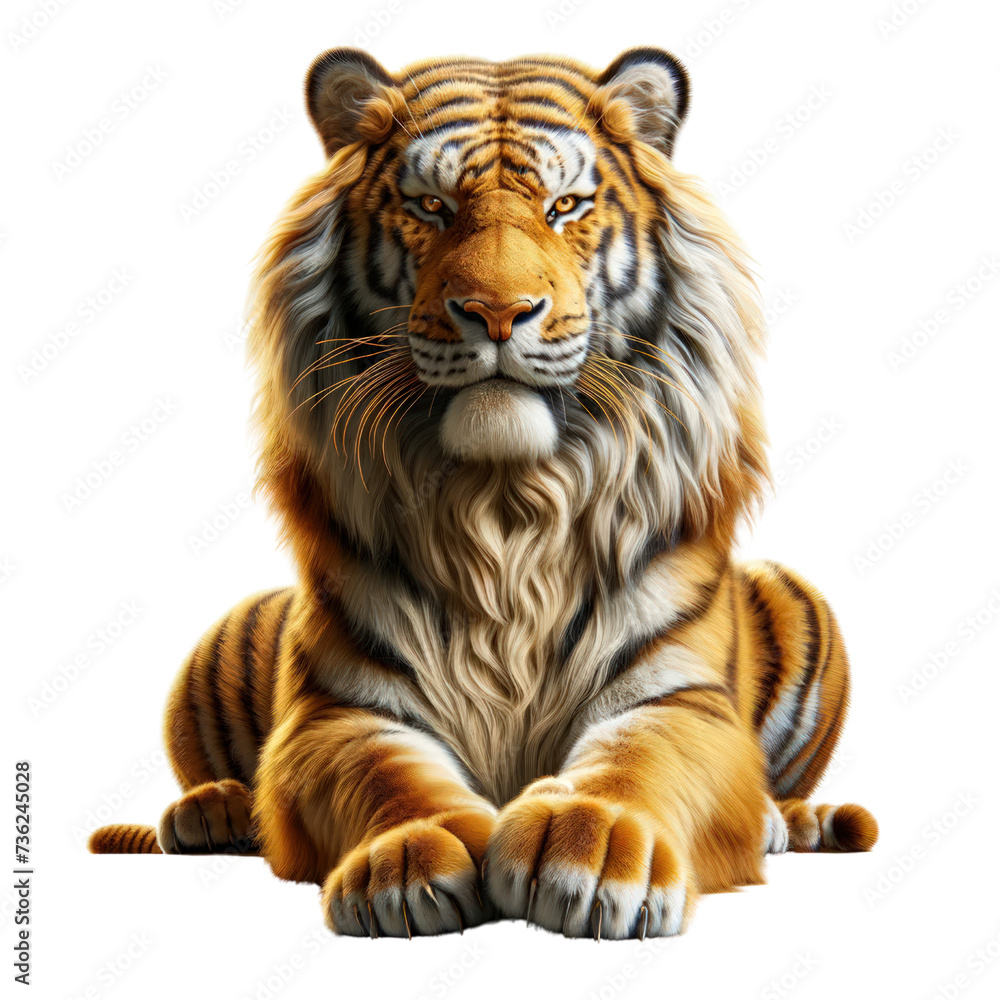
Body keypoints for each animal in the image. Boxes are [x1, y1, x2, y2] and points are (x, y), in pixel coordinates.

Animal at [89, 46, 878, 940]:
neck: (507, 506)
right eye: (430, 206)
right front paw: (410, 863)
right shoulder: (341, 712)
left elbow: (637, 761)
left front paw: (593, 849)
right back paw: (212, 810)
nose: (498, 312)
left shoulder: (680, 698)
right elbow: (383, 775)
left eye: (565, 206)